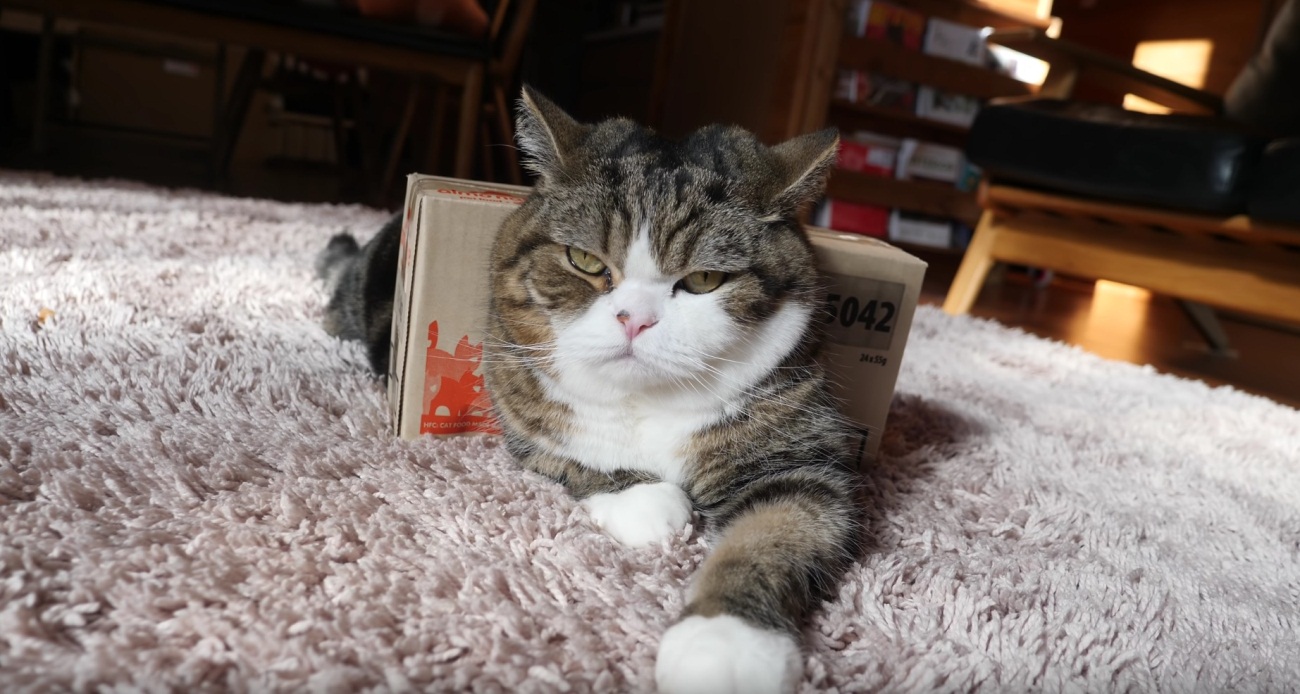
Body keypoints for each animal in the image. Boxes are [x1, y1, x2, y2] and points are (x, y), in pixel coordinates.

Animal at [488, 88, 863, 694]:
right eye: (585, 261)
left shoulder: (796, 453)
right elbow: (565, 456)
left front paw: (724, 645)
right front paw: (647, 502)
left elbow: (774, 530)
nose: (634, 320)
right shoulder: (514, 394)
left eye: (705, 280)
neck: (648, 400)